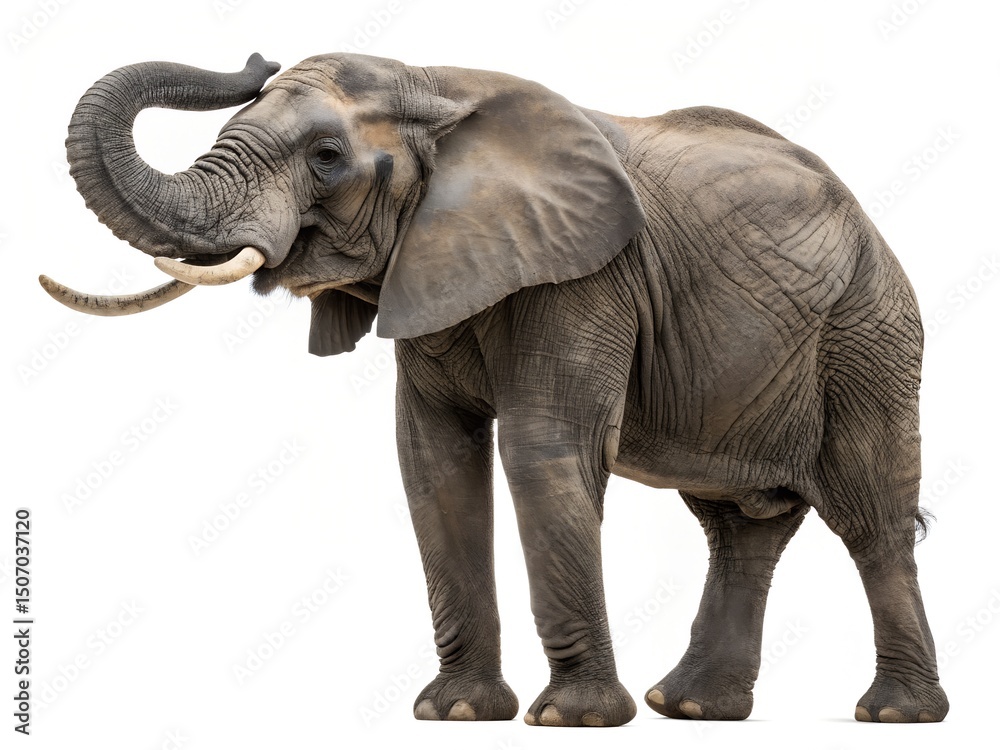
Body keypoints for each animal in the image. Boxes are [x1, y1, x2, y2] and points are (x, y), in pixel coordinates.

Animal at [41, 52, 949, 727]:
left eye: (326, 158)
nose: (255, 58)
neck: (436, 87)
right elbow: (433, 461)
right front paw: (456, 713)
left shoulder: (588, 276)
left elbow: (541, 448)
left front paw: (572, 720)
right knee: (737, 525)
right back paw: (690, 707)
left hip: (867, 333)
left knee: (868, 514)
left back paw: (893, 714)